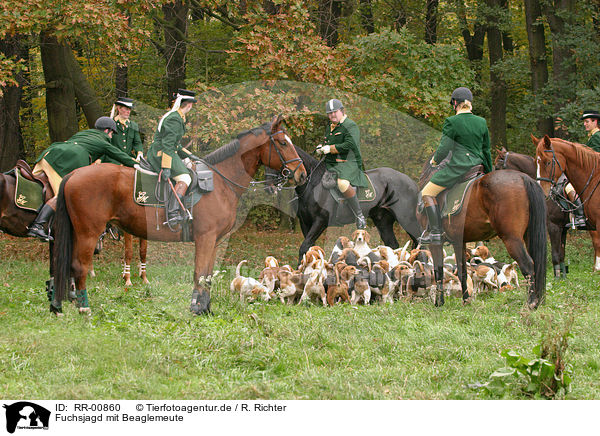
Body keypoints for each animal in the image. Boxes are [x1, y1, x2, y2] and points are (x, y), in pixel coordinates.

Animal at [51, 116, 308, 314]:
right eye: (283, 143)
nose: (302, 174)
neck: (220, 182)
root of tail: (75, 174)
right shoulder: (205, 238)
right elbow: (199, 274)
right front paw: (196, 308)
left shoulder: (214, 241)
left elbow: (207, 275)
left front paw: (205, 308)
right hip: (88, 233)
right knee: (80, 267)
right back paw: (84, 307)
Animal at [274, 146, 420, 266]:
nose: (274, 185)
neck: (313, 185)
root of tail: (411, 182)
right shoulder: (305, 222)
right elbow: (309, 248)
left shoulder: (320, 221)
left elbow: (304, 247)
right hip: (383, 221)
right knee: (393, 245)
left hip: (407, 219)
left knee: (419, 240)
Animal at [420, 162, 548, 308]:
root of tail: (523, 177)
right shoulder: (459, 241)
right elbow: (462, 271)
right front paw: (466, 300)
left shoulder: (435, 243)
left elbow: (439, 271)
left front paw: (439, 302)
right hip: (528, 236)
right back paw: (537, 299)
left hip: (512, 238)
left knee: (527, 265)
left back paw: (531, 302)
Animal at [536, 136, 600, 272]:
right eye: (536, 162)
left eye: (547, 162)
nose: (542, 192)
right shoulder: (561, 227)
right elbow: (561, 255)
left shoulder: (553, 225)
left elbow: (556, 255)